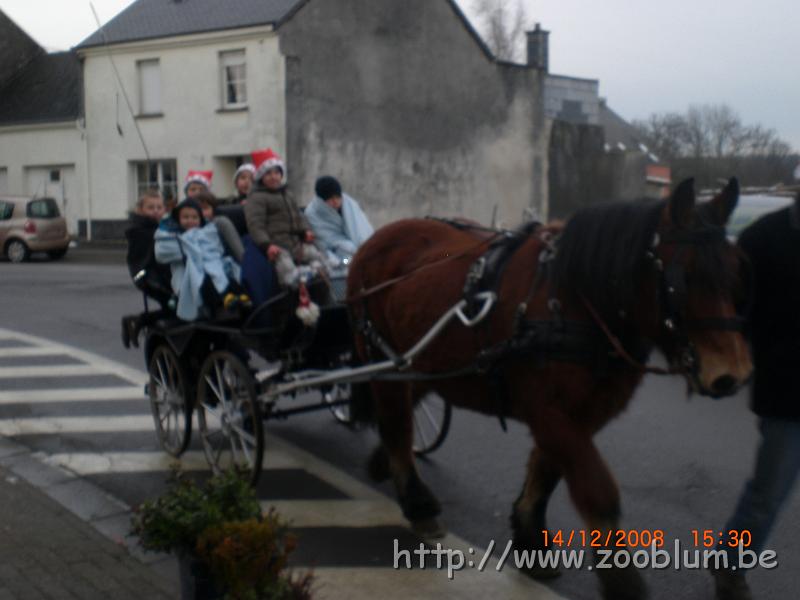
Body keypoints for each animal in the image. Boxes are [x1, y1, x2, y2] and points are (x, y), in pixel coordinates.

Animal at [346, 179, 752, 600]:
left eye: (736, 270)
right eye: (683, 277)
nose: (732, 374)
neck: (574, 299)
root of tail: (375, 240)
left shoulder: (581, 414)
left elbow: (547, 471)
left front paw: (530, 537)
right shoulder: (550, 412)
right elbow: (596, 488)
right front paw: (620, 578)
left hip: (421, 364)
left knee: (406, 411)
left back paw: (384, 464)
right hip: (382, 357)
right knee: (396, 423)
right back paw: (417, 501)